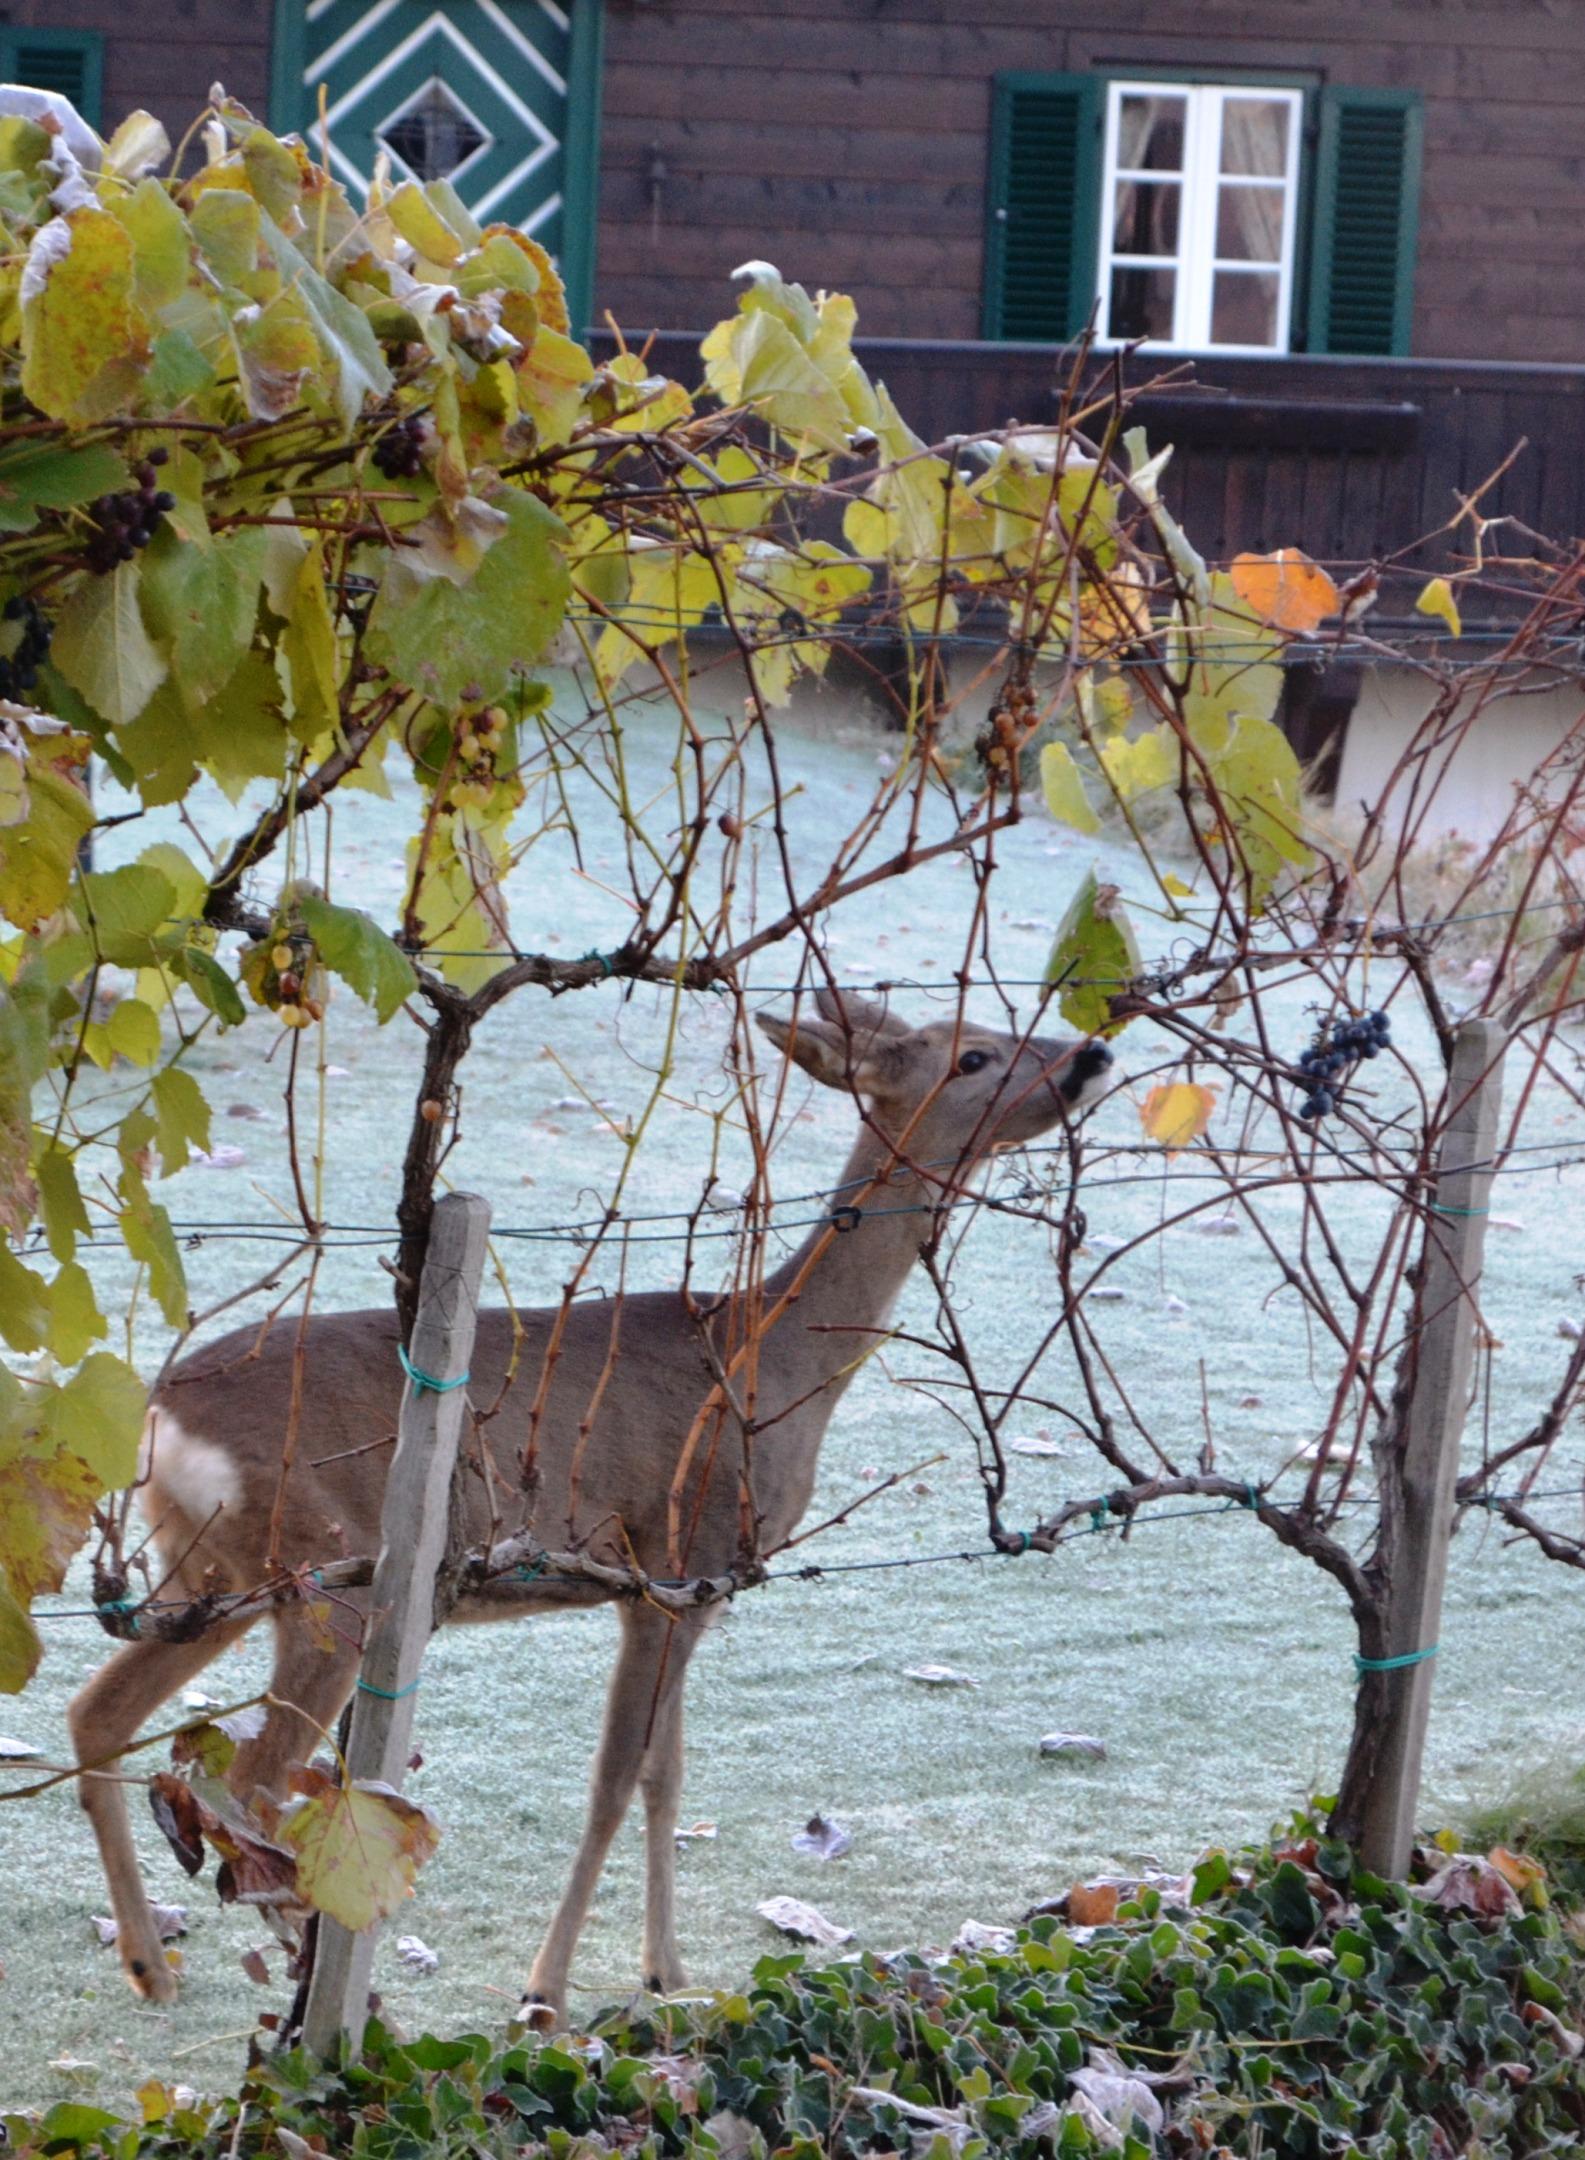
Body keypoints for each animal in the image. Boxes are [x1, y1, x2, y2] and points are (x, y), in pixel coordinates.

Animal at [71, 993, 1114, 2021]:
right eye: (973, 1056)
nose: (1092, 1054)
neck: (777, 1361)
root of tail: (162, 1416)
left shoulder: (674, 1592)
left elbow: (666, 1778)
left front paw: (669, 1973)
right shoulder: (676, 1563)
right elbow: (617, 1780)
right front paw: (549, 1988)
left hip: (214, 1572)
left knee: (99, 1713)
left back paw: (152, 1964)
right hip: (330, 1574)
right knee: (251, 1774)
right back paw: (318, 1964)